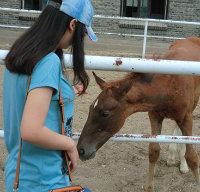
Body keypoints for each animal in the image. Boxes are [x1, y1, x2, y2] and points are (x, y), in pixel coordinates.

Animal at [77, 36, 200, 191]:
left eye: (105, 113)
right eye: (90, 108)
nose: (80, 150)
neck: (169, 85)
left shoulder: (186, 118)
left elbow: (192, 157)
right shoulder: (154, 116)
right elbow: (154, 151)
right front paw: (149, 187)